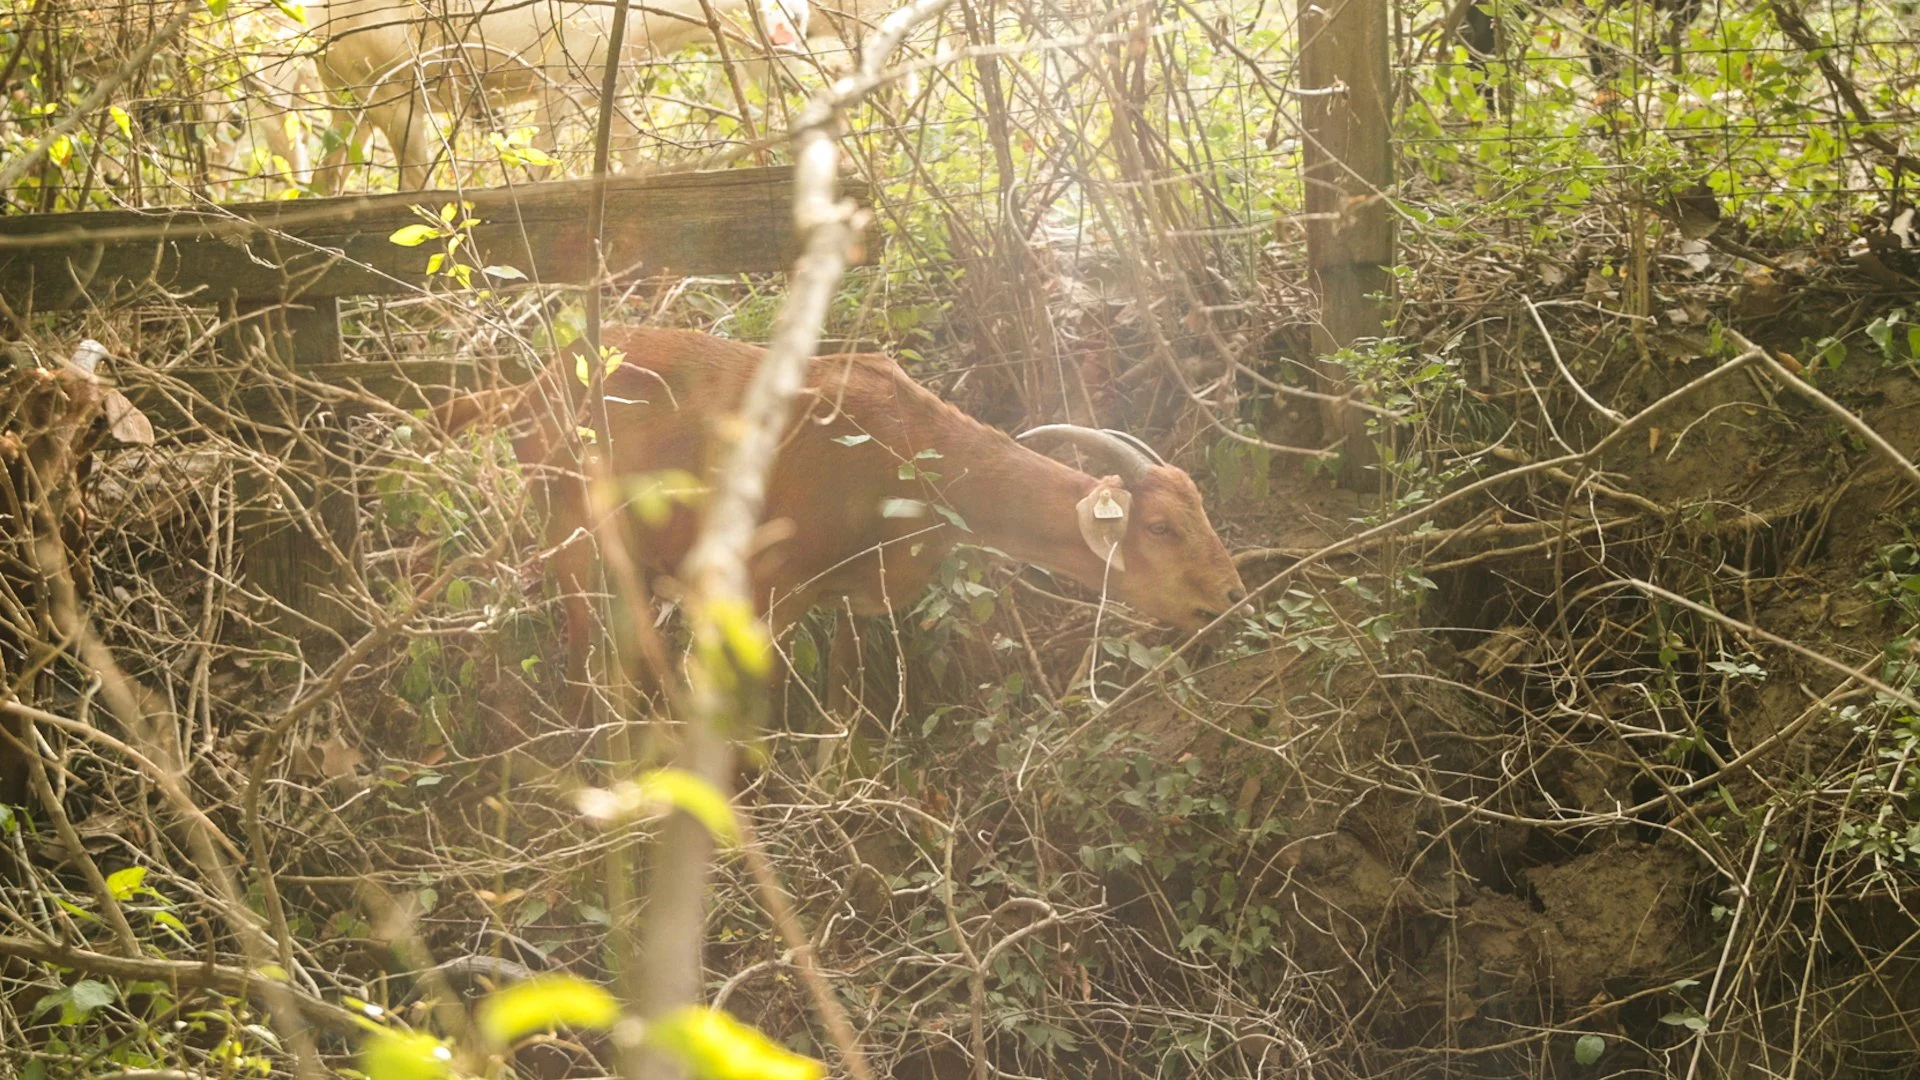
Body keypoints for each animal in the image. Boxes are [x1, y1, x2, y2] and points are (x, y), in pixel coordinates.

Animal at [435, 327, 1246, 710]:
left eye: (1202, 509)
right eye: (1161, 527)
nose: (1229, 596)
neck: (916, 457)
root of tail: (525, 393)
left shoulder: (843, 596)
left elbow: (844, 702)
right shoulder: (768, 587)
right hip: (570, 535)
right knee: (582, 664)